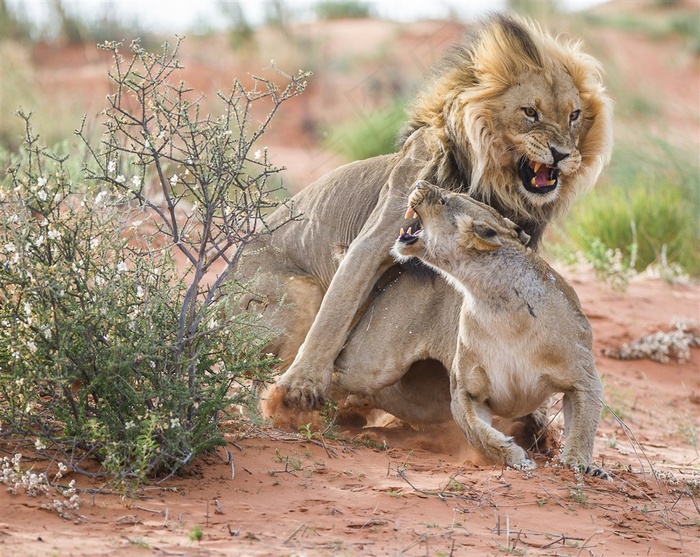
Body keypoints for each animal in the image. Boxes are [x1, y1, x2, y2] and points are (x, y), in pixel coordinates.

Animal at [238, 14, 608, 408]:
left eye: (574, 115)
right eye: (530, 113)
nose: (562, 154)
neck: (493, 184)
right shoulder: (376, 237)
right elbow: (336, 310)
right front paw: (301, 387)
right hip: (299, 291)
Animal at [328, 180, 608, 476]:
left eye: (444, 200)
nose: (419, 183)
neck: (497, 305)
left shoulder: (583, 380)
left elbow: (583, 429)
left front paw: (581, 465)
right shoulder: (467, 391)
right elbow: (478, 433)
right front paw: (514, 456)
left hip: (416, 398)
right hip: (370, 365)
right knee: (339, 375)